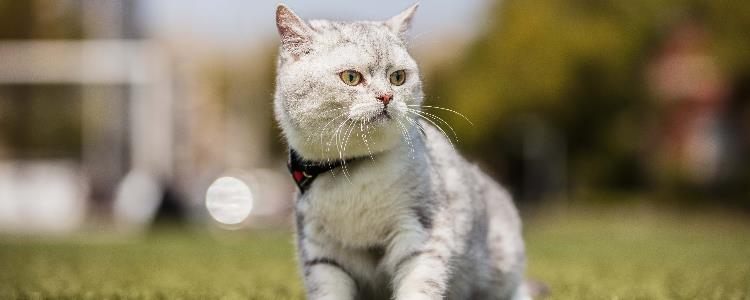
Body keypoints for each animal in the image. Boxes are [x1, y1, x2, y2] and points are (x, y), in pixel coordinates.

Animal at [274, 2, 532, 300]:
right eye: (351, 77)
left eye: (397, 77)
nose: (387, 96)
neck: (353, 170)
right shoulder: (320, 249)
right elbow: (329, 289)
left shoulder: (421, 229)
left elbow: (420, 285)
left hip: (502, 265)